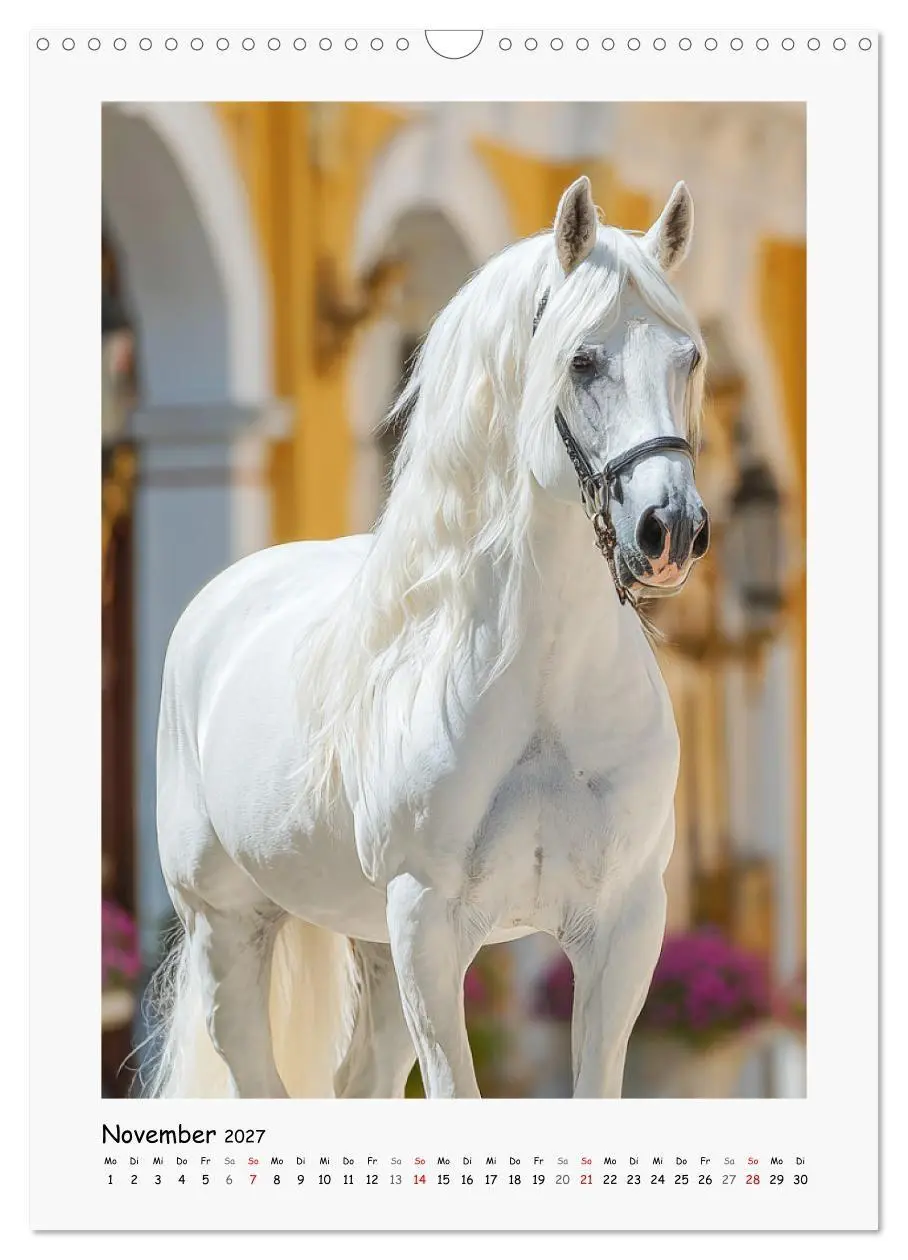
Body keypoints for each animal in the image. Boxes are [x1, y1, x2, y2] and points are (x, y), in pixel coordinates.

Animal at [147, 175, 709, 1100]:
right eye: (582, 360)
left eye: (687, 358)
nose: (670, 530)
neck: (542, 689)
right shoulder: (430, 926)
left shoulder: (625, 928)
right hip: (229, 928)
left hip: (371, 950)